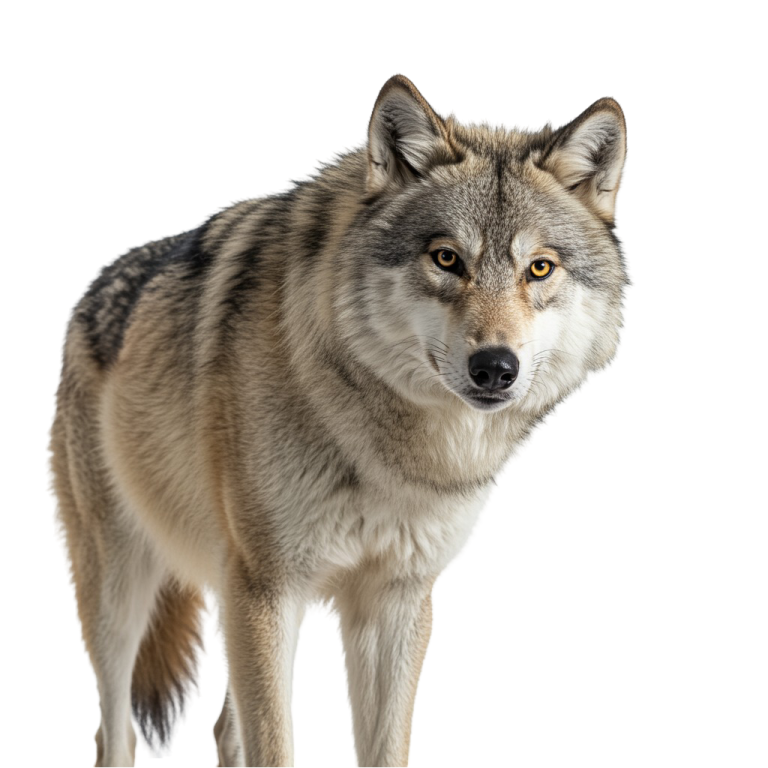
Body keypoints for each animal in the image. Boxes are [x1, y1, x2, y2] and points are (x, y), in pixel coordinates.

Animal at [45, 73, 631, 767]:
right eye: (446, 259)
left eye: (539, 267)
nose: (495, 367)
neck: (388, 453)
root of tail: (92, 287)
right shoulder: (268, 593)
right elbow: (277, 750)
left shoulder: (396, 605)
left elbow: (382, 749)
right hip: (120, 602)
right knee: (113, 731)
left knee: (222, 731)